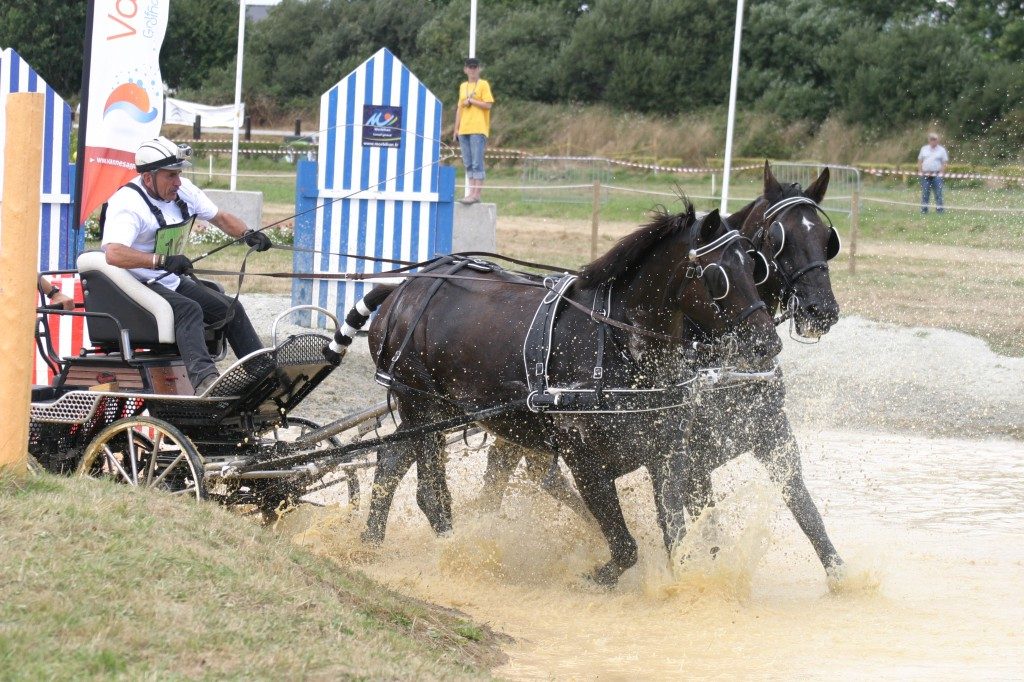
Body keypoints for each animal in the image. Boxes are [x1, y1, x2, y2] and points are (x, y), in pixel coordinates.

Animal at [348, 200, 778, 577]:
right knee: (430, 494)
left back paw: (369, 543)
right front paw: (598, 576)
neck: (616, 341)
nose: (768, 343)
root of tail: (406, 287)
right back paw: (453, 552)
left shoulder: (666, 455)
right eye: (718, 276)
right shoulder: (584, 458)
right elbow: (624, 547)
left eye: (752, 265)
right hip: (421, 404)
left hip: (435, 411)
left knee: (389, 460)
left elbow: (677, 538)